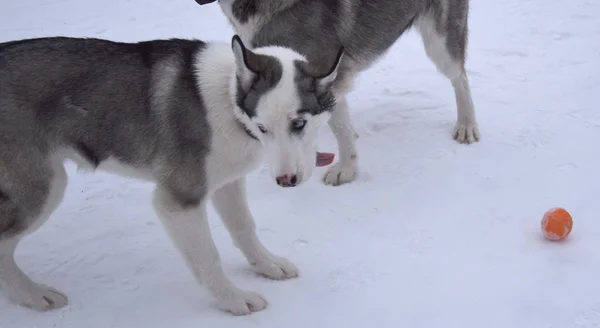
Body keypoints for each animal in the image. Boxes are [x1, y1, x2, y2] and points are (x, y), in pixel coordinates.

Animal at [0, 34, 344, 316]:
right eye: (263, 128)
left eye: (298, 124)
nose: (286, 181)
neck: (228, 97)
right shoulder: (179, 201)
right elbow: (208, 257)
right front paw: (233, 299)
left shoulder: (228, 182)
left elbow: (244, 227)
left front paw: (267, 264)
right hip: (43, 188)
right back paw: (33, 295)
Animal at [197, 0, 482, 186]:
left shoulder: (322, 76)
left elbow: (340, 132)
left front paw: (346, 169)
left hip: (440, 42)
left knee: (460, 78)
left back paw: (466, 124)